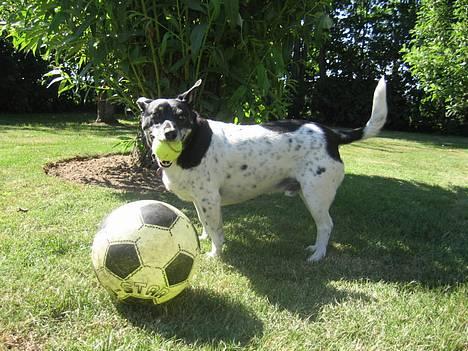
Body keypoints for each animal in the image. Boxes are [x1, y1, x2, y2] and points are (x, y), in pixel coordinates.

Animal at [136, 78, 388, 262]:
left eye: (181, 117)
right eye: (155, 116)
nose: (170, 134)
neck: (192, 142)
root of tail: (332, 134)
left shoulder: (210, 199)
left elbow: (217, 230)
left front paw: (215, 254)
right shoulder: (201, 200)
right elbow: (204, 222)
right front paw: (204, 238)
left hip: (316, 195)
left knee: (326, 225)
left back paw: (318, 255)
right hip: (308, 194)